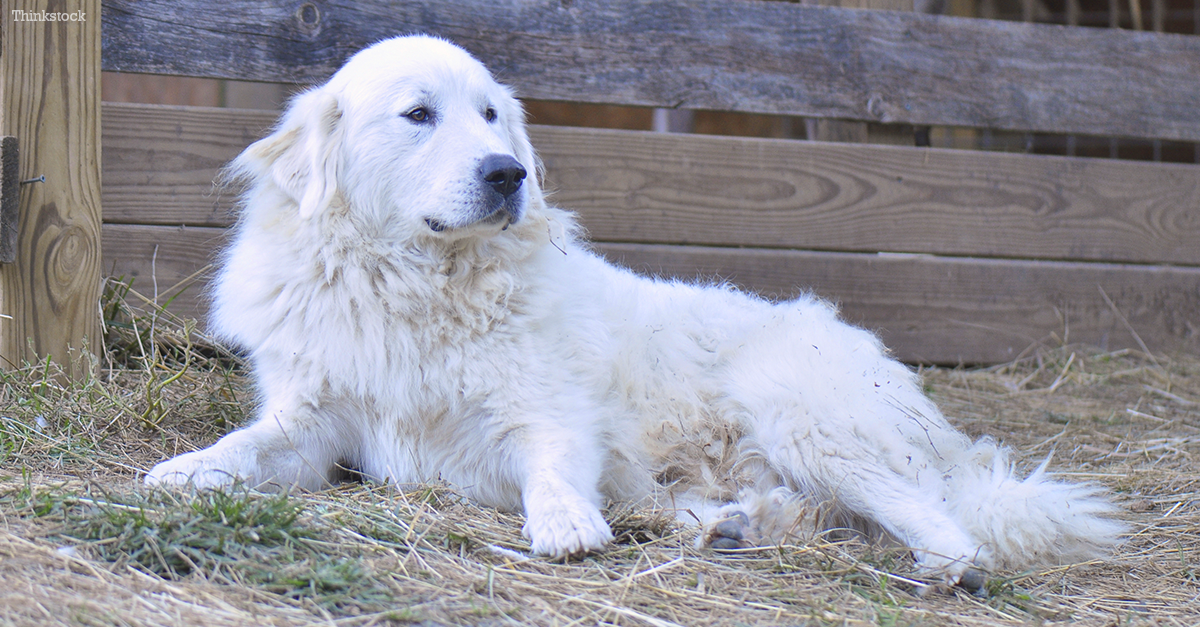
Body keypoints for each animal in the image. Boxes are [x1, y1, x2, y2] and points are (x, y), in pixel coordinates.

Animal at [145, 32, 1118, 581]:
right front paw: (187, 469)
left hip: (802, 412)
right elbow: (248, 444)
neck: (417, 282)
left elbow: (549, 463)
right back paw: (732, 528)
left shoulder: (545, 411)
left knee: (947, 526)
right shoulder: (314, 422)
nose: (509, 173)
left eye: (491, 116)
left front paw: (565, 522)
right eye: (418, 114)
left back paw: (938, 570)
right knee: (795, 509)